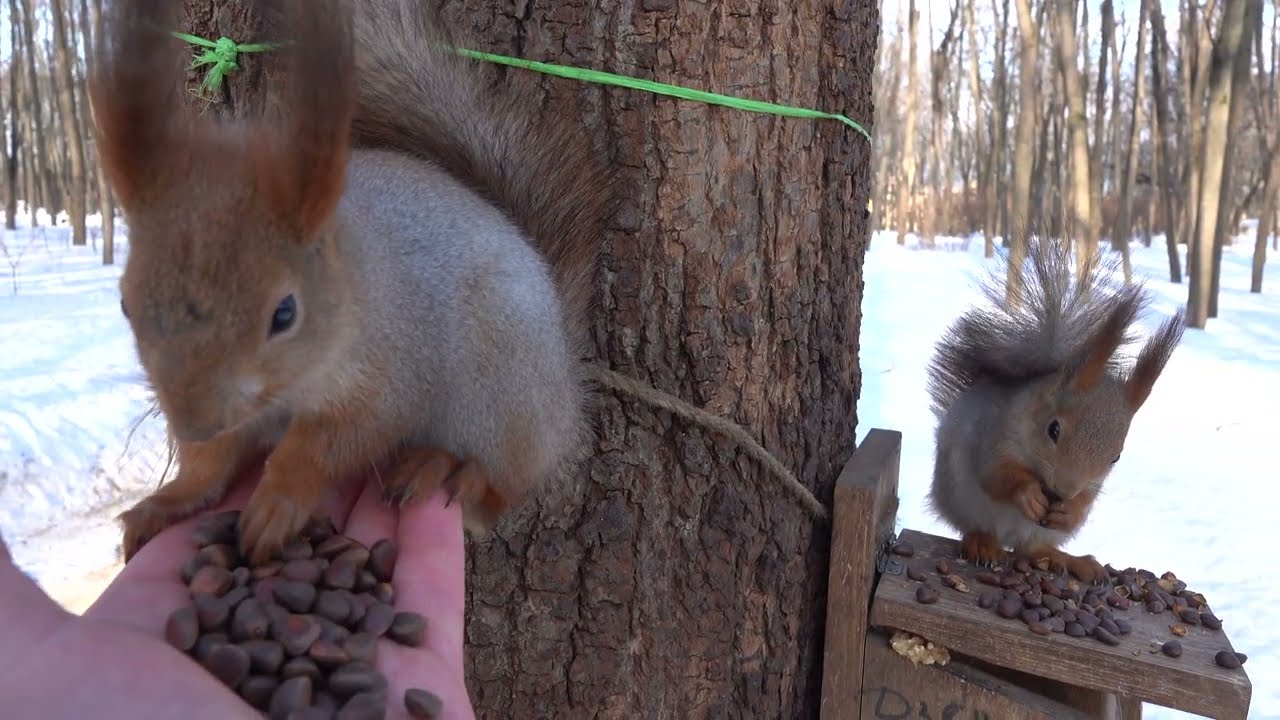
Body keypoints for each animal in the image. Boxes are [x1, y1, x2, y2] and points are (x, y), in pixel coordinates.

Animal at [87, 0, 611, 561]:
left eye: (285, 313)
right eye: (124, 303)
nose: (193, 423)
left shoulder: (390, 370)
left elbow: (334, 440)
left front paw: (279, 501)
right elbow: (209, 464)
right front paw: (168, 501)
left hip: (504, 394)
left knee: (496, 495)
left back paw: (446, 470)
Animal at [926, 238, 1182, 579]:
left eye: (1115, 457)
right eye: (1054, 429)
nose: (1064, 490)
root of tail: (1007, 537)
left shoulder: (1092, 484)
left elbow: (1085, 499)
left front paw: (1069, 509)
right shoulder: (993, 435)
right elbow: (996, 475)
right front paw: (1029, 494)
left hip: (1039, 533)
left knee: (1031, 548)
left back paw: (1070, 560)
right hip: (960, 496)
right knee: (979, 526)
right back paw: (982, 543)